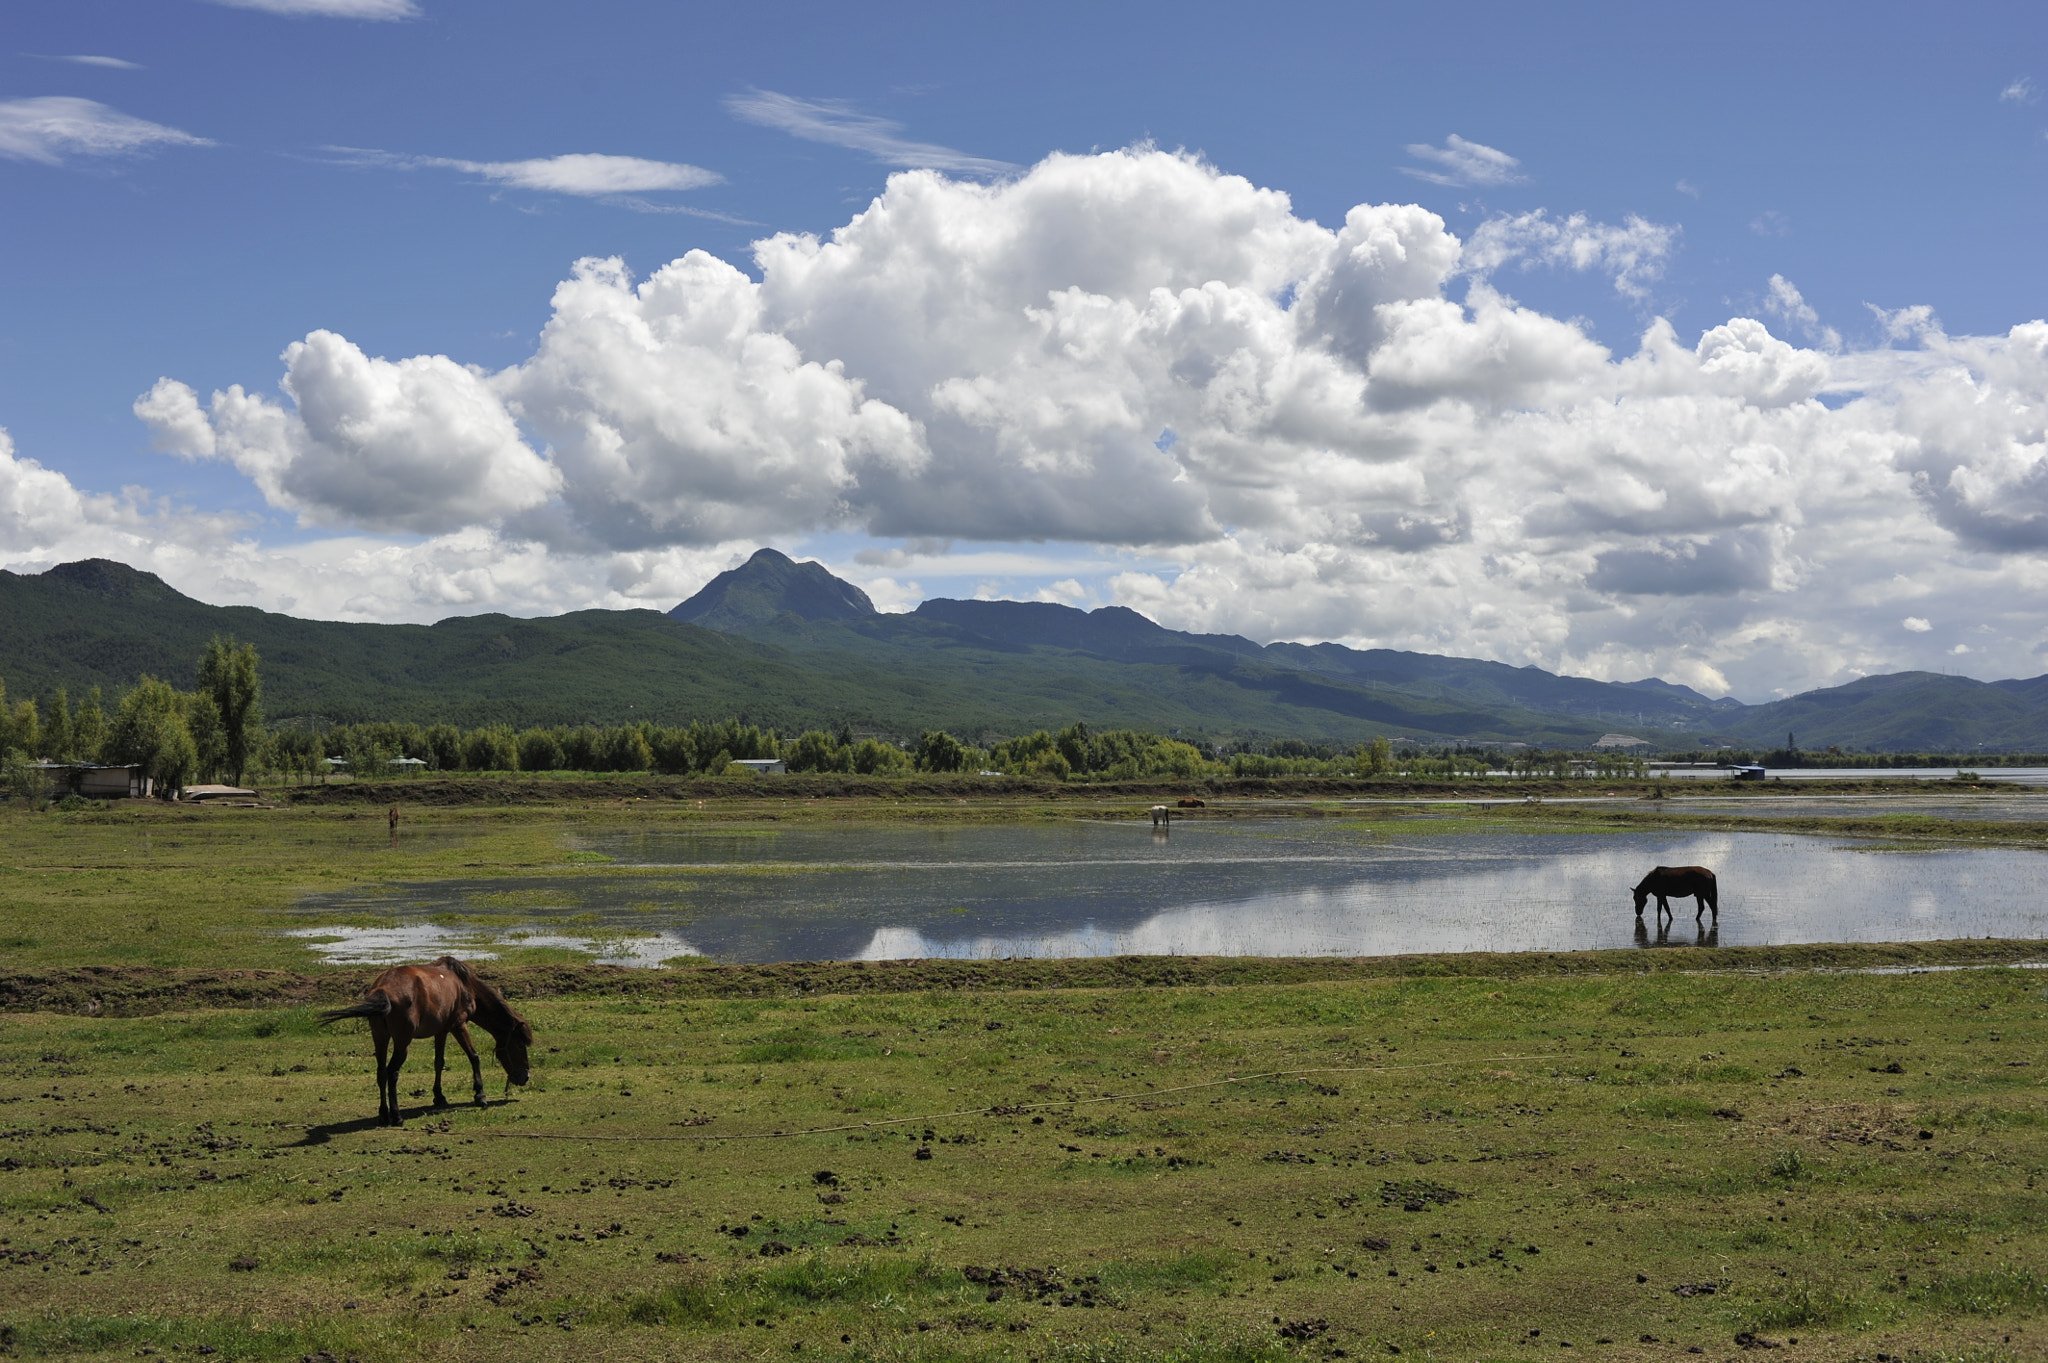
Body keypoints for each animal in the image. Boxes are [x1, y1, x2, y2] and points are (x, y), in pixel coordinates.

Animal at [315, 949, 532, 1121]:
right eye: (520, 1044)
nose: (525, 1077)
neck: (465, 985)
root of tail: (382, 988)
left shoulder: (442, 1030)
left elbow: (439, 1062)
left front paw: (439, 1096)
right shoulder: (459, 1025)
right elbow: (474, 1057)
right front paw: (480, 1095)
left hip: (380, 1038)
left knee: (381, 1072)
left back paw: (384, 1113)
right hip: (403, 1042)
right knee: (392, 1072)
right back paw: (396, 1116)